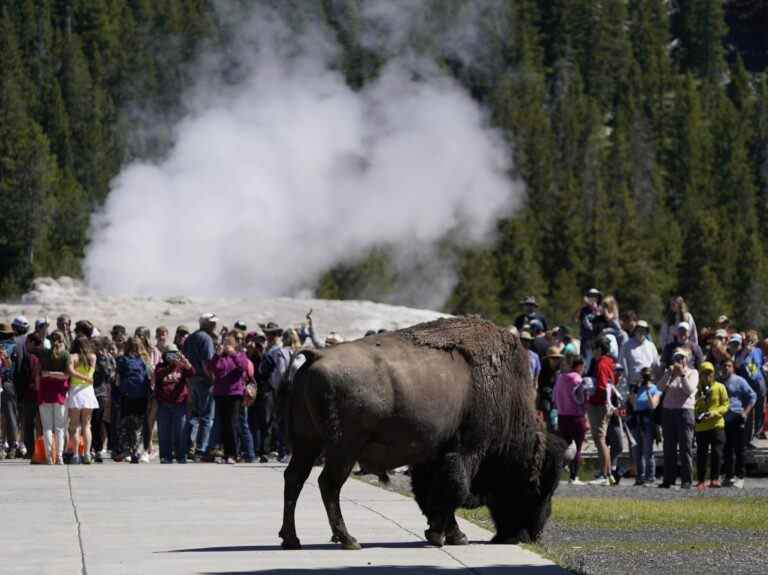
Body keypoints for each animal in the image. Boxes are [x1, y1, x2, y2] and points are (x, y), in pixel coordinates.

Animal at [280, 318, 568, 552]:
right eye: (536, 487)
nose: (531, 534)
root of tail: (317, 355)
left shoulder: (432, 457)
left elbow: (432, 494)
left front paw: (448, 534)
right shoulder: (468, 450)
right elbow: (455, 490)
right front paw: (443, 535)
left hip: (307, 443)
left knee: (295, 478)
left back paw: (291, 539)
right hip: (342, 449)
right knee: (328, 484)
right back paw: (348, 540)